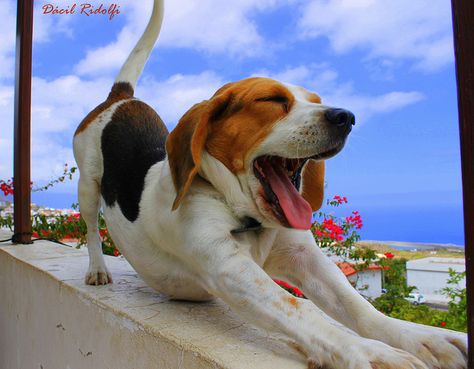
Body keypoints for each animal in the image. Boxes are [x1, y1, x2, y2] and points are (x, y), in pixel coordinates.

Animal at [72, 1, 468, 366]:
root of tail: (121, 98)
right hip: (87, 185)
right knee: (91, 229)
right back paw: (97, 269)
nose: (346, 117)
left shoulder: (305, 258)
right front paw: (370, 353)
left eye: (317, 101)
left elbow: (358, 308)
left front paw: (424, 339)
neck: (245, 215)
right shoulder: (228, 266)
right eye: (272, 100)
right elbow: (300, 309)